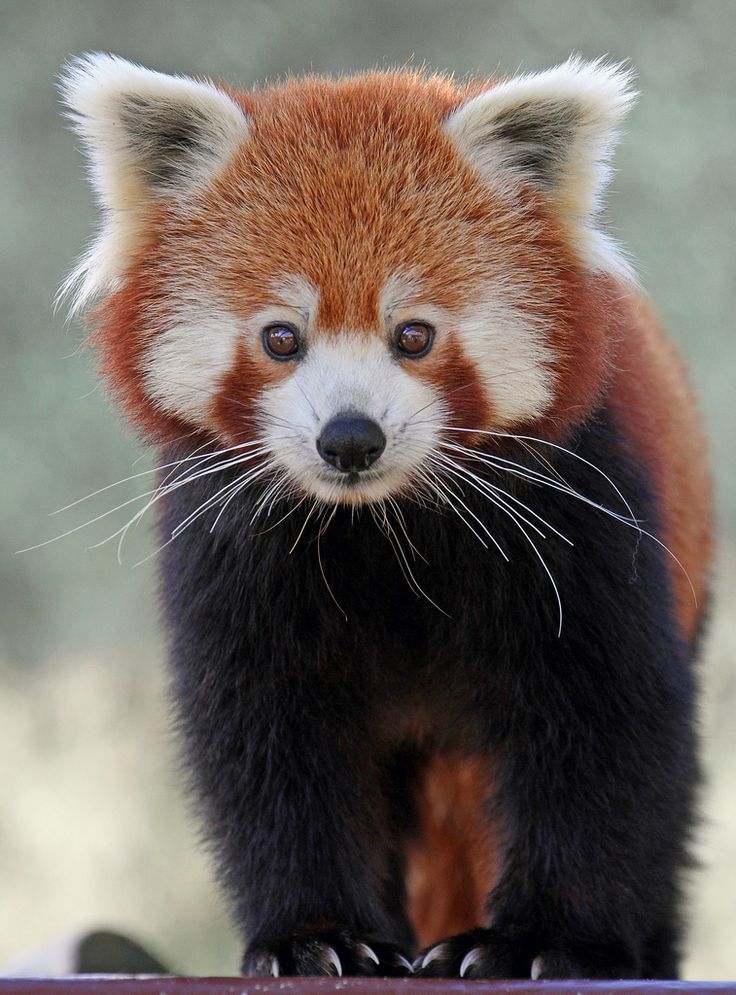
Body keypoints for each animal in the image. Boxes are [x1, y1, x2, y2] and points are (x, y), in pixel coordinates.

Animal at [63, 54, 712, 980]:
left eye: (413, 335)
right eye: (281, 338)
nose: (349, 437)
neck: (377, 524)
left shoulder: (578, 502)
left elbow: (605, 721)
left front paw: (539, 937)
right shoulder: (230, 536)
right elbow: (269, 736)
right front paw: (315, 934)